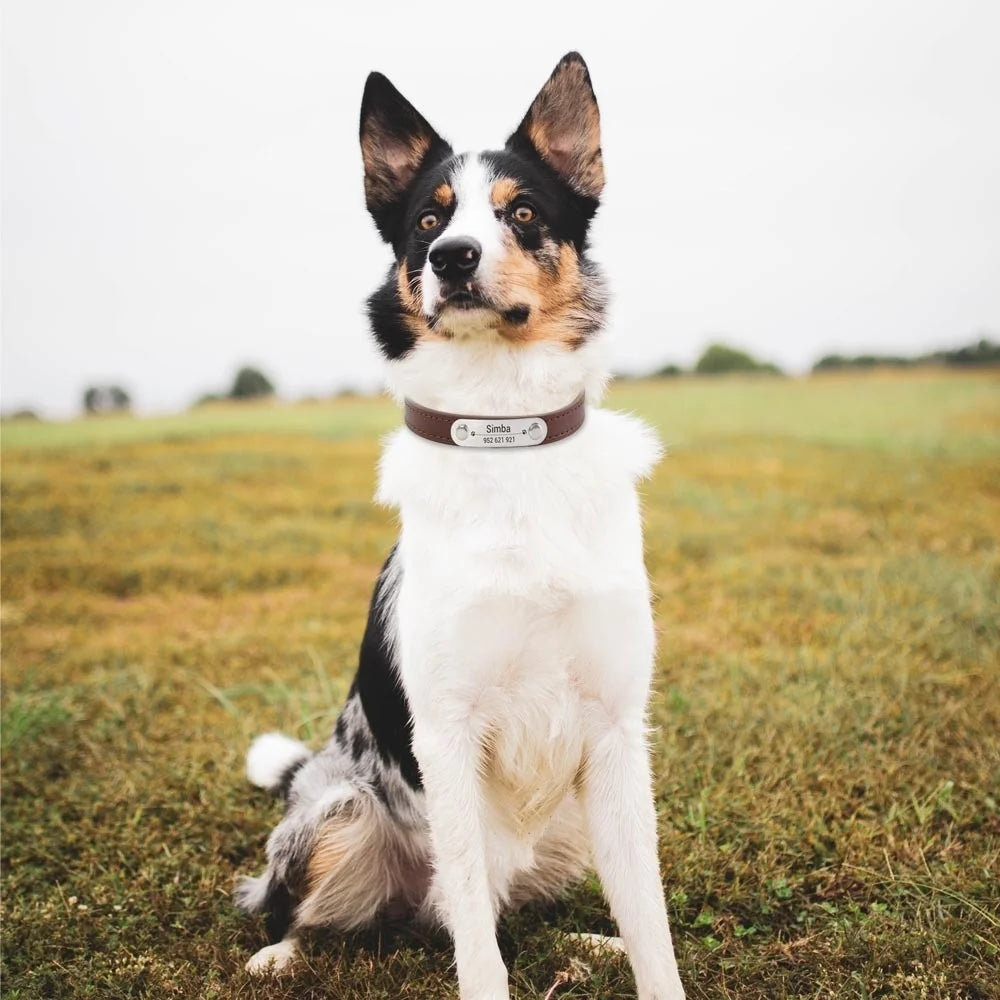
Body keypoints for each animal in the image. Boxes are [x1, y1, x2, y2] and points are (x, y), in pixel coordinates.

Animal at [235, 52, 688, 1000]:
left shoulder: (617, 732)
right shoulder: (445, 735)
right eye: (429, 220)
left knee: (522, 908)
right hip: (338, 806)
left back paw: (593, 943)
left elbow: (652, 921)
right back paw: (281, 951)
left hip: (570, 821)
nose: (453, 257)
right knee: (317, 907)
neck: (506, 432)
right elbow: (477, 946)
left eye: (522, 212)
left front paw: (637, 954)